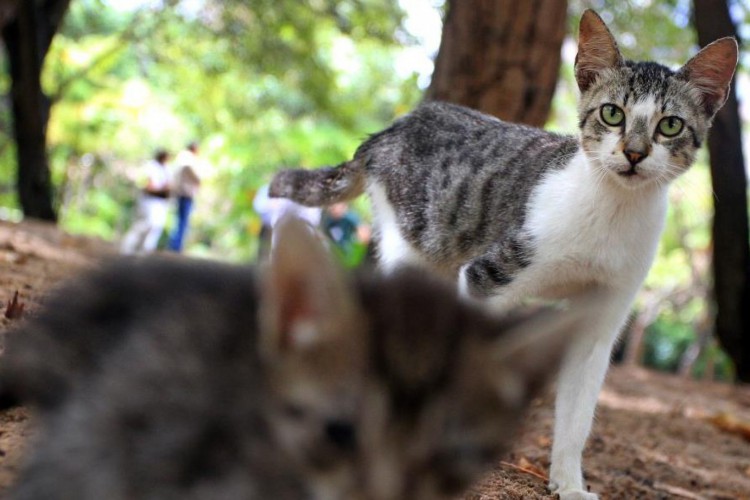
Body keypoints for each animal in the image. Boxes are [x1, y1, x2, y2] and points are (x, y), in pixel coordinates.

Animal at [270, 9, 740, 498]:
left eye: (670, 125)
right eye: (613, 114)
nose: (633, 153)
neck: (612, 210)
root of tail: (391, 129)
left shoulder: (603, 315)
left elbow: (578, 414)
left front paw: (569, 482)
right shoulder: (487, 276)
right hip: (413, 244)